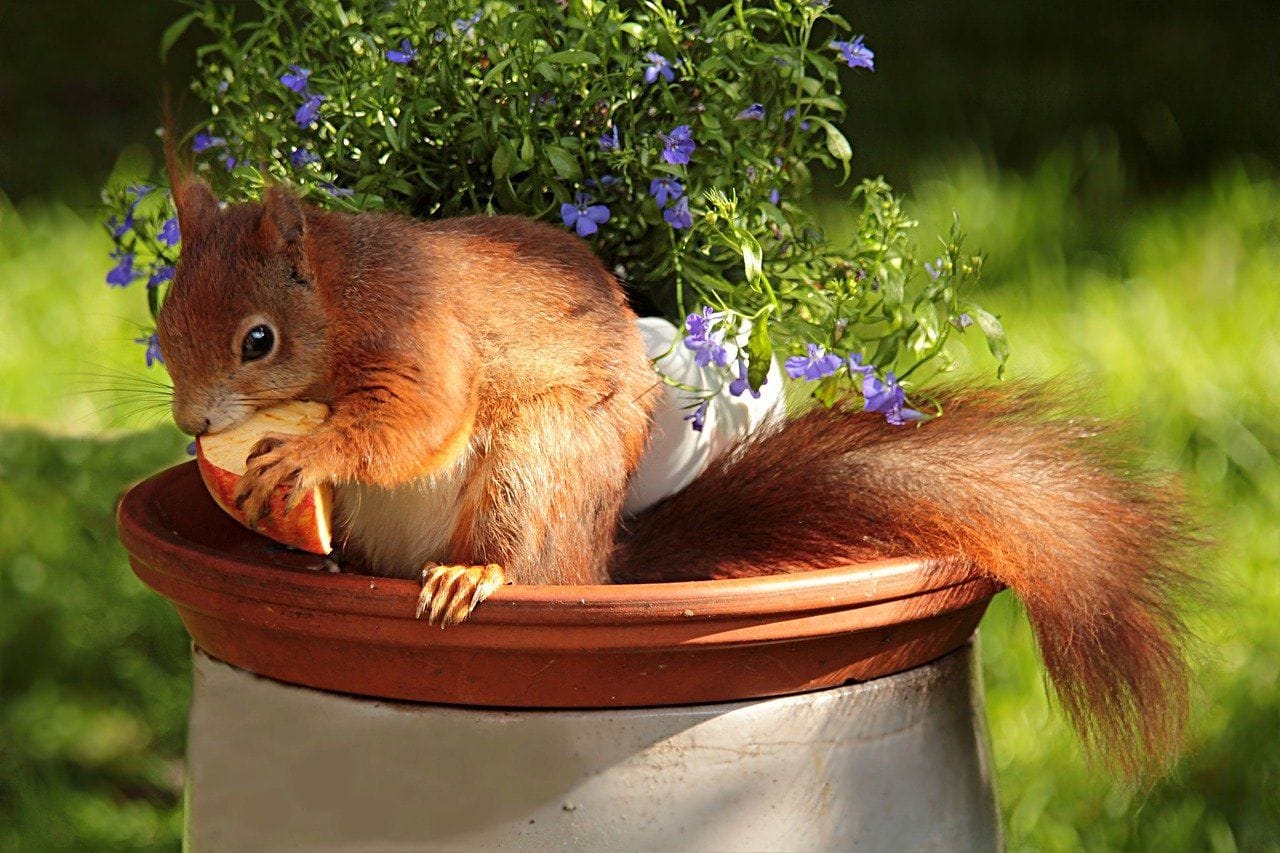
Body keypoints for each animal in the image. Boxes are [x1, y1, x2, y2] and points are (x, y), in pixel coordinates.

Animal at [154, 174, 1192, 778]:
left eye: (258, 341)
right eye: (163, 323)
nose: (193, 424)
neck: (336, 296)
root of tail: (597, 560)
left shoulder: (417, 335)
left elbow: (412, 420)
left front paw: (307, 454)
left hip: (536, 461)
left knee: (519, 553)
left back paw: (471, 573)